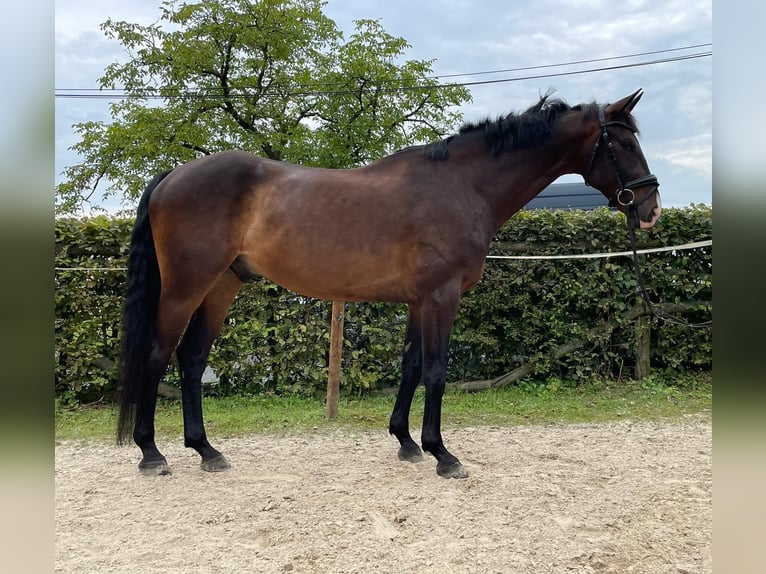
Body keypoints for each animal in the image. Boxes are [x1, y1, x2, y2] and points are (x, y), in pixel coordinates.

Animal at [117, 89, 664, 476]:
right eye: (625, 143)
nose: (651, 209)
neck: (461, 186)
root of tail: (172, 176)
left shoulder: (419, 300)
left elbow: (412, 365)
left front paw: (406, 442)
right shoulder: (442, 297)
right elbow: (437, 370)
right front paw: (444, 455)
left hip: (222, 287)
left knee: (191, 360)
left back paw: (206, 451)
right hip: (187, 288)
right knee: (157, 355)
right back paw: (151, 453)